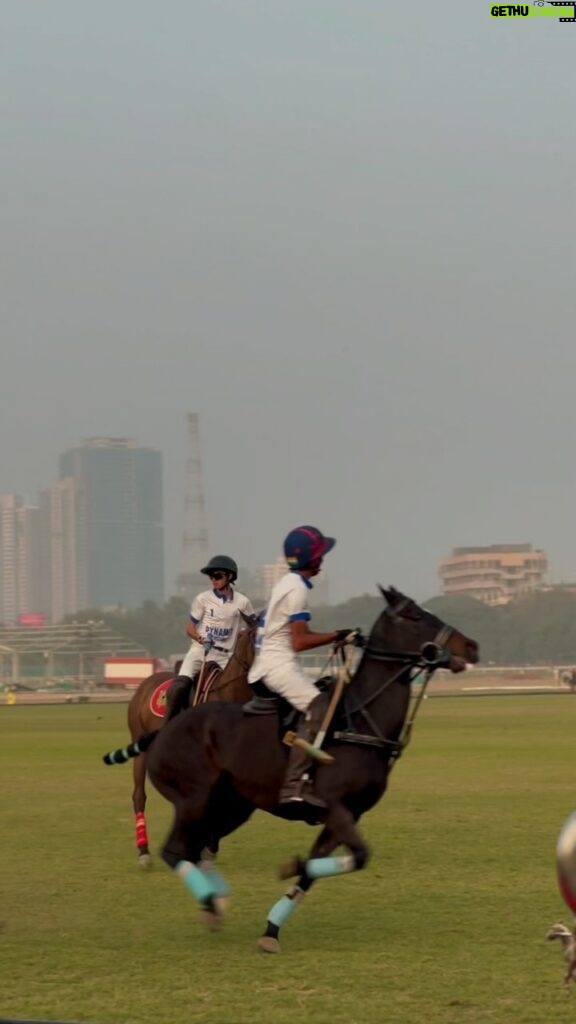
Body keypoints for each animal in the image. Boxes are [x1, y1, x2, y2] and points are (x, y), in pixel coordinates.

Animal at [127, 614, 258, 864]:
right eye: (256, 637)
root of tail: (144, 684)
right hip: (141, 747)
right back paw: (143, 853)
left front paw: (208, 849)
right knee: (139, 796)